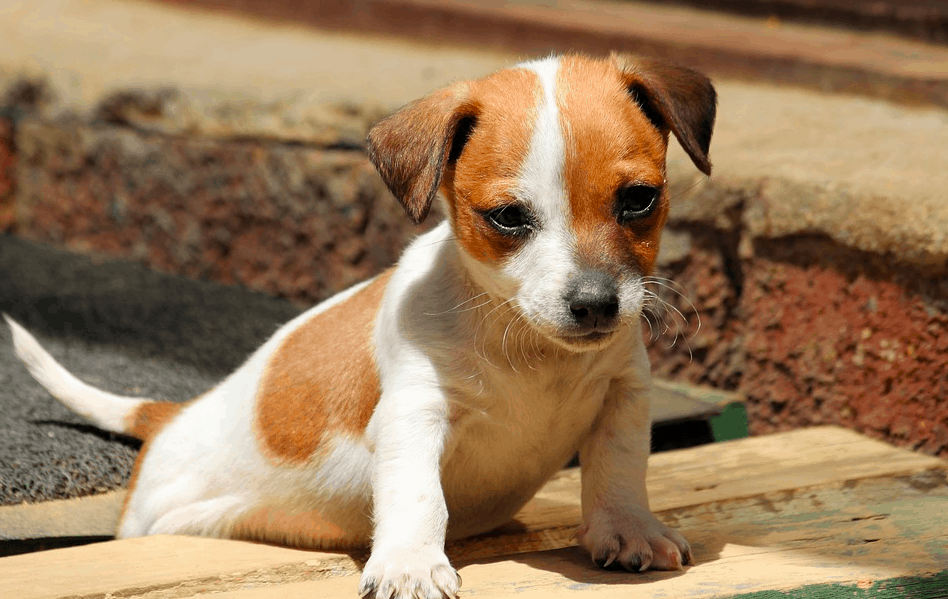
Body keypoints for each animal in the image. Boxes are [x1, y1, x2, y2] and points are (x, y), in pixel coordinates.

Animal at [7, 52, 716, 599]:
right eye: (509, 217)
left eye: (639, 199)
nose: (595, 305)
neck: (527, 346)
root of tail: (171, 417)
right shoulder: (412, 414)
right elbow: (419, 494)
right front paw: (411, 563)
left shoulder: (623, 394)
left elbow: (619, 469)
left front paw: (628, 529)